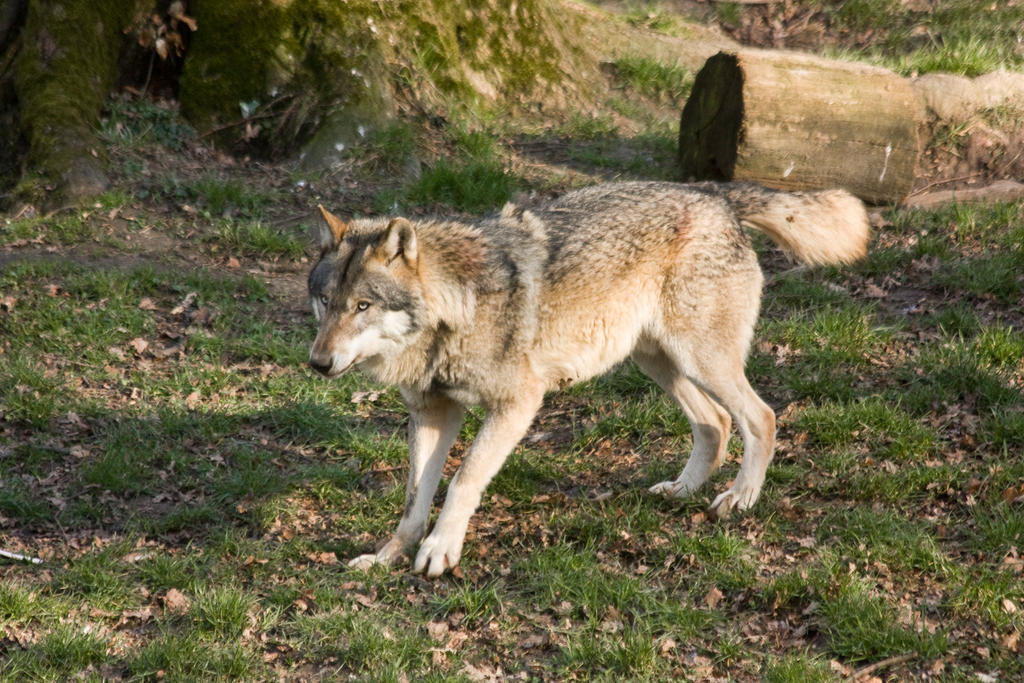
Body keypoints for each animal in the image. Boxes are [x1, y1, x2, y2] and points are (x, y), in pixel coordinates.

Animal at [307, 181, 869, 577]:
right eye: (325, 302)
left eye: (362, 306)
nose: (318, 363)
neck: (456, 308)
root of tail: (716, 194)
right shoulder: (432, 413)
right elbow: (413, 498)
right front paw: (388, 557)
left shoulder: (516, 405)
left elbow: (464, 481)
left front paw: (440, 552)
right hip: (657, 362)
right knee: (716, 423)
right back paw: (681, 490)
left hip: (701, 360)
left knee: (762, 417)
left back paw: (740, 499)